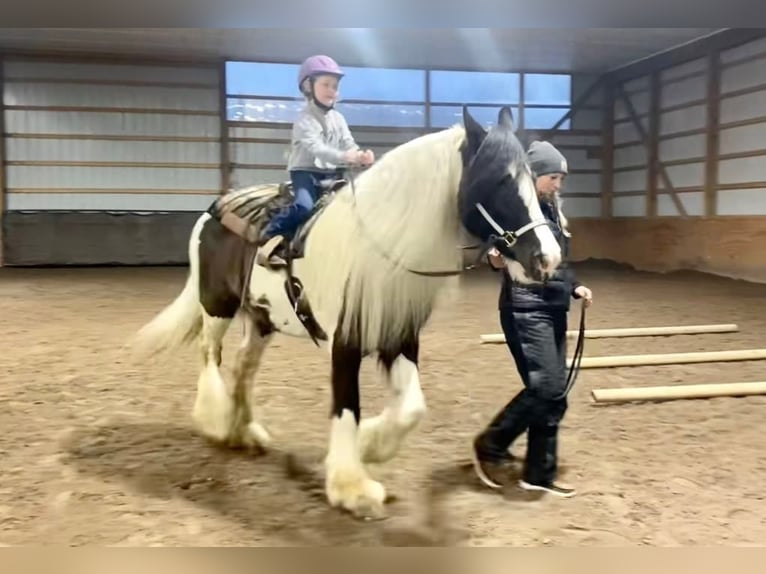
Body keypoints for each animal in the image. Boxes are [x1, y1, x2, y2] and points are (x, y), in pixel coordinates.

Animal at [129, 104, 564, 520]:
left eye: (531, 178)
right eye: (499, 181)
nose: (547, 258)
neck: (379, 249)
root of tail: (212, 210)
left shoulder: (398, 336)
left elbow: (411, 408)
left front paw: (370, 445)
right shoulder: (344, 343)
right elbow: (346, 407)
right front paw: (351, 488)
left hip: (261, 320)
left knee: (243, 366)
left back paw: (245, 432)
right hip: (217, 306)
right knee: (210, 354)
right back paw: (216, 422)